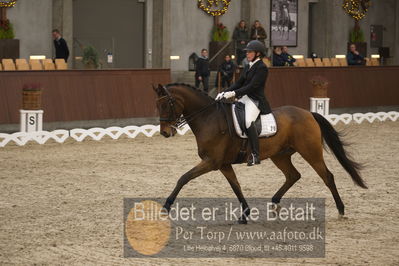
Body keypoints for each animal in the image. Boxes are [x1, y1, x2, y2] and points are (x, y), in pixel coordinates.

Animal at [154, 82, 368, 222]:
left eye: (167, 104)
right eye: (157, 105)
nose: (165, 132)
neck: (209, 117)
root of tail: (308, 113)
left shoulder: (211, 162)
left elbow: (183, 178)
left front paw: (166, 207)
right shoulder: (223, 164)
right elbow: (236, 186)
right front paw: (245, 213)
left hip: (310, 152)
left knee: (327, 176)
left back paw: (341, 210)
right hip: (280, 155)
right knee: (293, 175)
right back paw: (274, 203)